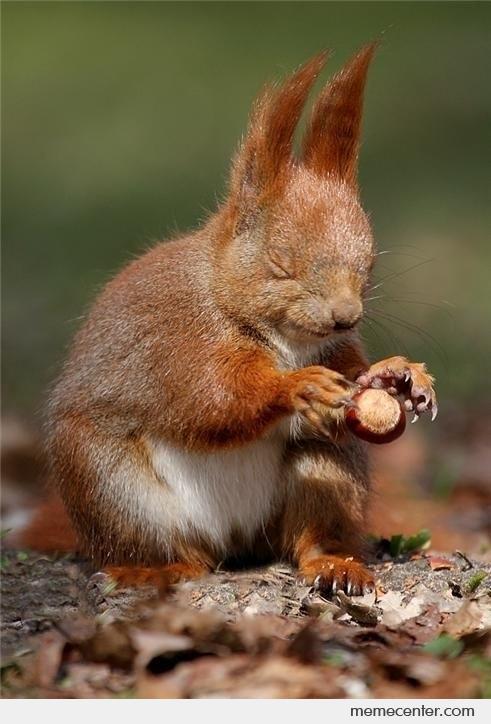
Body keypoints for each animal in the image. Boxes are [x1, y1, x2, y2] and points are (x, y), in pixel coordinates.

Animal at [20, 45, 437, 595]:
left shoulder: (336, 349)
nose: (346, 316)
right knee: (168, 550)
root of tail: (236, 541)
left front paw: (400, 374)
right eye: (281, 262)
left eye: (369, 263)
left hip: (326, 473)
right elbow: (213, 399)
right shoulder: (179, 339)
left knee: (311, 530)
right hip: (111, 484)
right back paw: (153, 569)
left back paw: (334, 563)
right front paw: (296, 387)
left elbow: (353, 371)